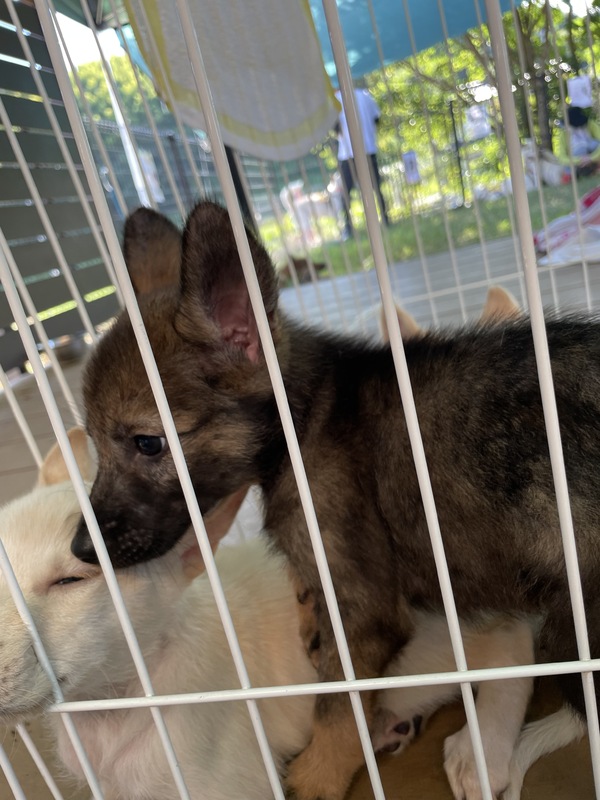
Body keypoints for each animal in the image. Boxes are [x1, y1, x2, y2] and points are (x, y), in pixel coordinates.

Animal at [73, 201, 600, 800]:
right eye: (92, 443)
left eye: (148, 443)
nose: (81, 550)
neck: (302, 422)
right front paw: (309, 617)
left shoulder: (368, 611)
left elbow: (338, 707)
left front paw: (316, 775)